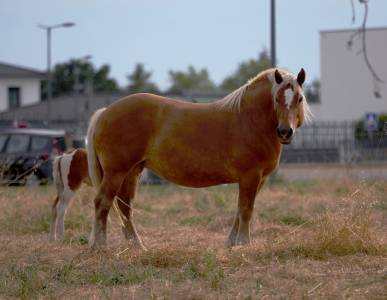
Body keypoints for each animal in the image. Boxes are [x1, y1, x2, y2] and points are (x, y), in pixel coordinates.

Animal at [86, 68, 310, 248]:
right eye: (277, 99)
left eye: (299, 98)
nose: (284, 132)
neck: (249, 119)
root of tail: (105, 112)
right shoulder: (250, 177)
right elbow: (246, 210)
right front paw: (244, 244)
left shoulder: (258, 180)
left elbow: (239, 211)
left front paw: (231, 243)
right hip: (116, 172)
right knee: (102, 202)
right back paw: (100, 246)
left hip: (132, 172)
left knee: (124, 207)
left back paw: (137, 246)